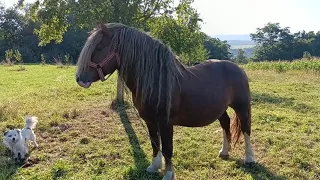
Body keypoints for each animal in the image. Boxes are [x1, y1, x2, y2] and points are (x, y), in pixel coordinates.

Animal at [75, 22, 255, 180]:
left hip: (242, 107)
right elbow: (155, 143)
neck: (157, 80)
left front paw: (168, 174)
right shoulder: (150, 120)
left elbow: (167, 148)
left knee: (246, 128)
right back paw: (224, 151)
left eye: (99, 47)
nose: (80, 79)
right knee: (225, 123)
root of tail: (237, 68)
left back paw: (249, 158)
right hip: (220, 108)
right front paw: (154, 167)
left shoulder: (166, 122)